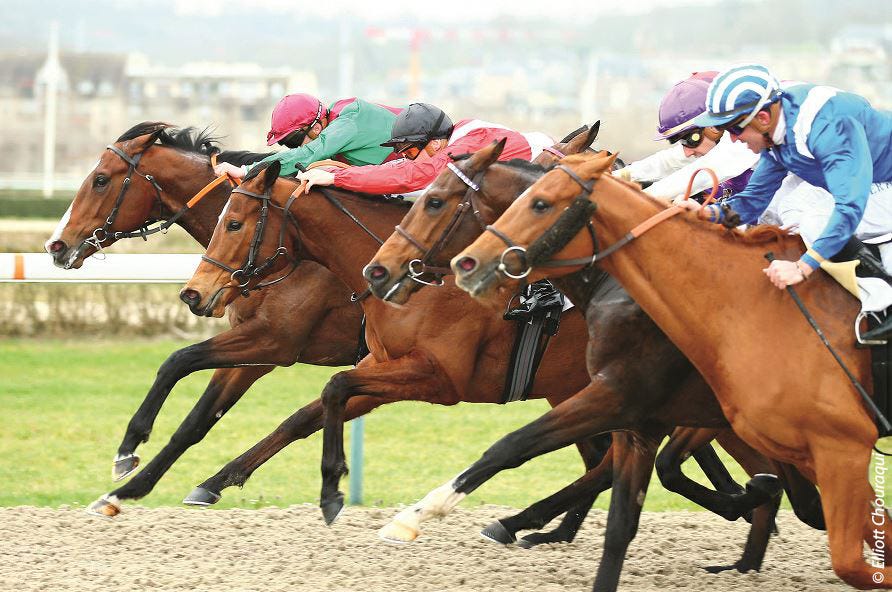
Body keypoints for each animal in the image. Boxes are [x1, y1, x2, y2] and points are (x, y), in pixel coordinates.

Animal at [43, 121, 364, 520]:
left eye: (100, 179)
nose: (56, 246)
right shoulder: (257, 350)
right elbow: (196, 422)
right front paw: (133, 485)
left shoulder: (274, 340)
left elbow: (178, 360)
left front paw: (128, 447)